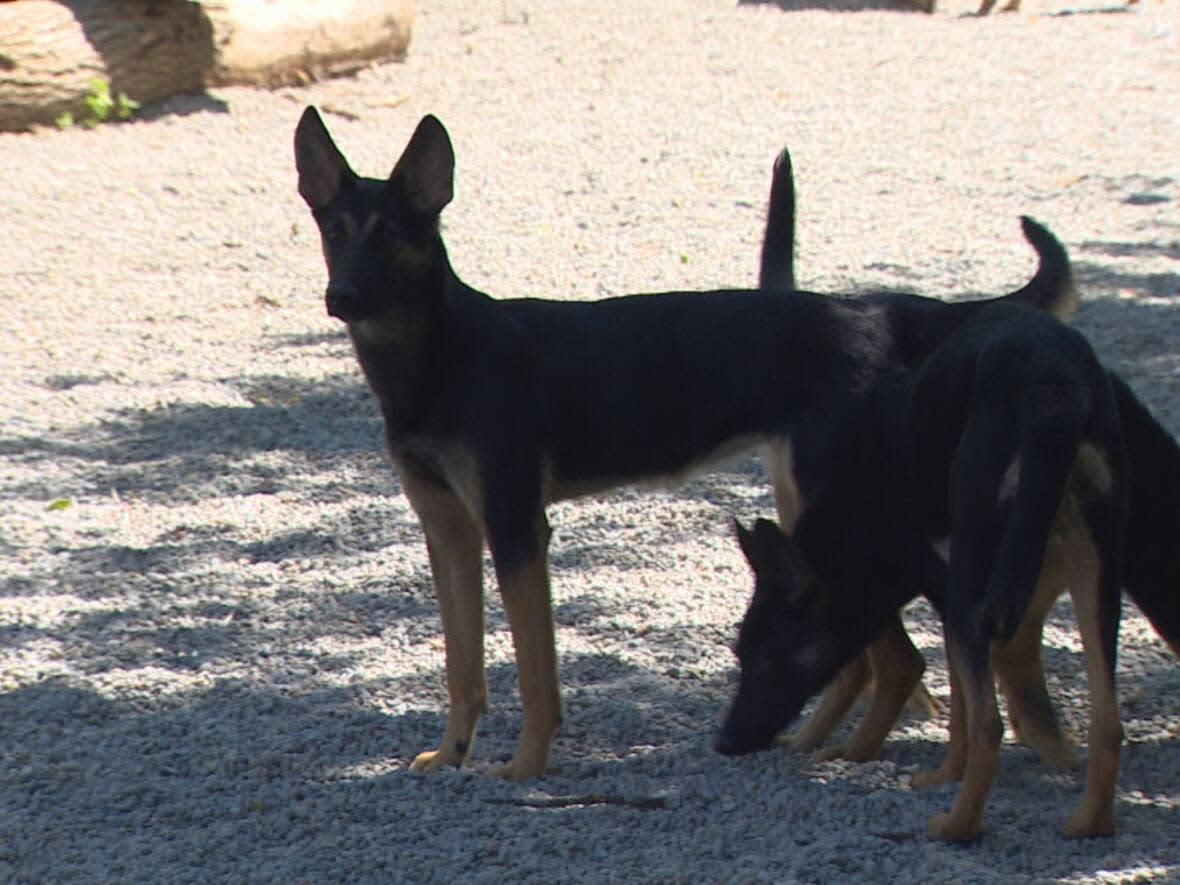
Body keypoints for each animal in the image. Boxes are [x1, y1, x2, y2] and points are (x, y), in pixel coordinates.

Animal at [295, 107, 1080, 778]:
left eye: (390, 233)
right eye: (334, 230)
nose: (341, 297)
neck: (441, 361)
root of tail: (879, 313)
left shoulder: (518, 529)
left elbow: (535, 673)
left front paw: (524, 768)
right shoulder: (449, 530)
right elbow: (463, 666)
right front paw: (451, 755)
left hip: (835, 508)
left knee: (896, 660)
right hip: (804, 506)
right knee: (870, 660)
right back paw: (812, 745)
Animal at [712, 304, 1128, 844]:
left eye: (762, 660)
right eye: (739, 655)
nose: (723, 743)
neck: (856, 513)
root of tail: (1050, 381)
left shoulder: (946, 590)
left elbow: (962, 710)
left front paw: (942, 775)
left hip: (979, 573)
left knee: (990, 725)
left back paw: (958, 826)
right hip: (1096, 570)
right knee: (1108, 723)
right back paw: (1090, 823)